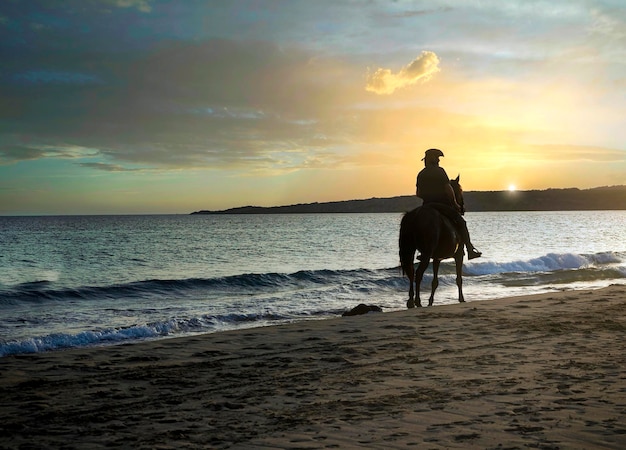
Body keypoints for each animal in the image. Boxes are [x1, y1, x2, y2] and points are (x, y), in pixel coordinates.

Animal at [400, 174, 464, 308]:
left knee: (411, 272)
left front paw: (430, 302)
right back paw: (418, 301)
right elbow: (458, 278)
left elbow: (435, 281)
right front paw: (461, 299)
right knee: (418, 274)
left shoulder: (436, 258)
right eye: (460, 190)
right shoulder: (459, 254)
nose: (462, 208)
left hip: (411, 250)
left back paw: (411, 301)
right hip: (427, 253)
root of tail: (416, 215)